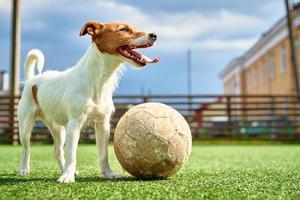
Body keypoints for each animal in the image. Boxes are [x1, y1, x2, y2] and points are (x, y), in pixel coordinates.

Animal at [17, 20, 159, 183]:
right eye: (124, 29)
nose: (154, 35)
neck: (98, 80)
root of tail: (31, 80)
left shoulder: (103, 125)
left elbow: (103, 154)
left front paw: (108, 173)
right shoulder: (74, 124)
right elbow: (72, 154)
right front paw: (67, 177)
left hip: (58, 128)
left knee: (57, 150)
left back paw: (64, 169)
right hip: (25, 126)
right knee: (26, 149)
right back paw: (24, 169)